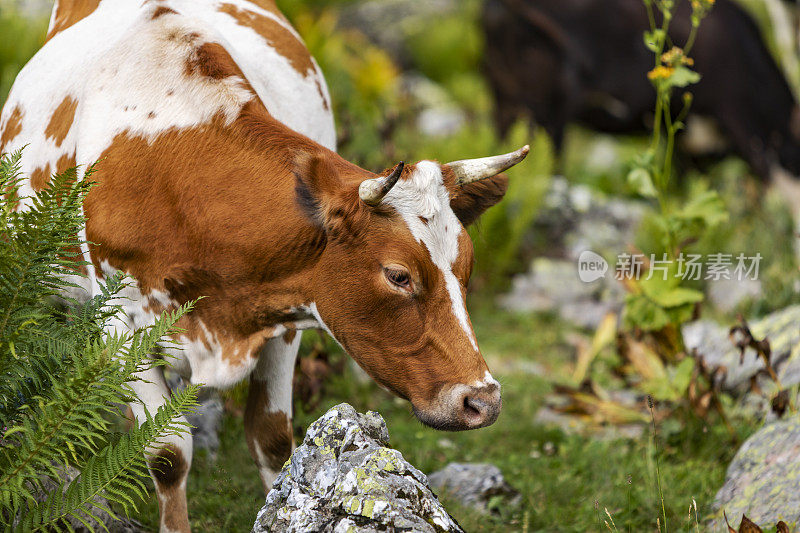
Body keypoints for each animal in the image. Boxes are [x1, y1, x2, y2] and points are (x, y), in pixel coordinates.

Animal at [0, 0, 528, 528]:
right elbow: (167, 453)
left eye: (467, 269)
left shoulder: (285, 310)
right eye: (398, 275)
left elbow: (274, 441)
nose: (483, 401)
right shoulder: (122, 327)